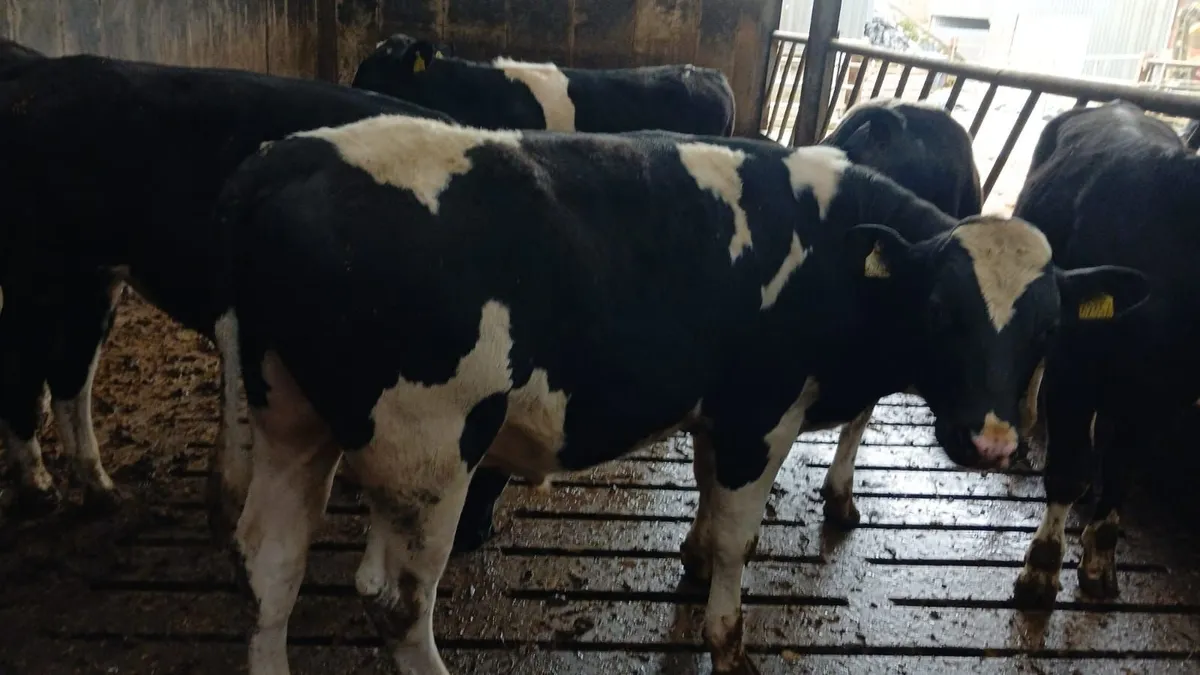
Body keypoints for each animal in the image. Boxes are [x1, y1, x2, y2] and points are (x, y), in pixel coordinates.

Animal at [0, 53, 455, 525]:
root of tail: (37, 71)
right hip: (34, 272)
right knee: (22, 368)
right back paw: (37, 486)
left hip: (92, 279)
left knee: (70, 375)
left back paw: (100, 490)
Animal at [211, 114, 1147, 675]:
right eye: (943, 311)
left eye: (1048, 330)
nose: (992, 442)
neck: (834, 252)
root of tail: (285, 157)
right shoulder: (759, 412)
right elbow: (740, 536)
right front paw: (726, 636)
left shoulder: (718, 411)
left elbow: (705, 500)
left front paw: (692, 563)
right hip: (428, 451)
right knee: (401, 603)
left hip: (292, 420)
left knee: (271, 561)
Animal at [1010, 100, 1196, 608]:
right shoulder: (1075, 367)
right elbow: (1068, 468)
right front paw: (1041, 569)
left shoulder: (1166, 395)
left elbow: (1122, 469)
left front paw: (1099, 562)